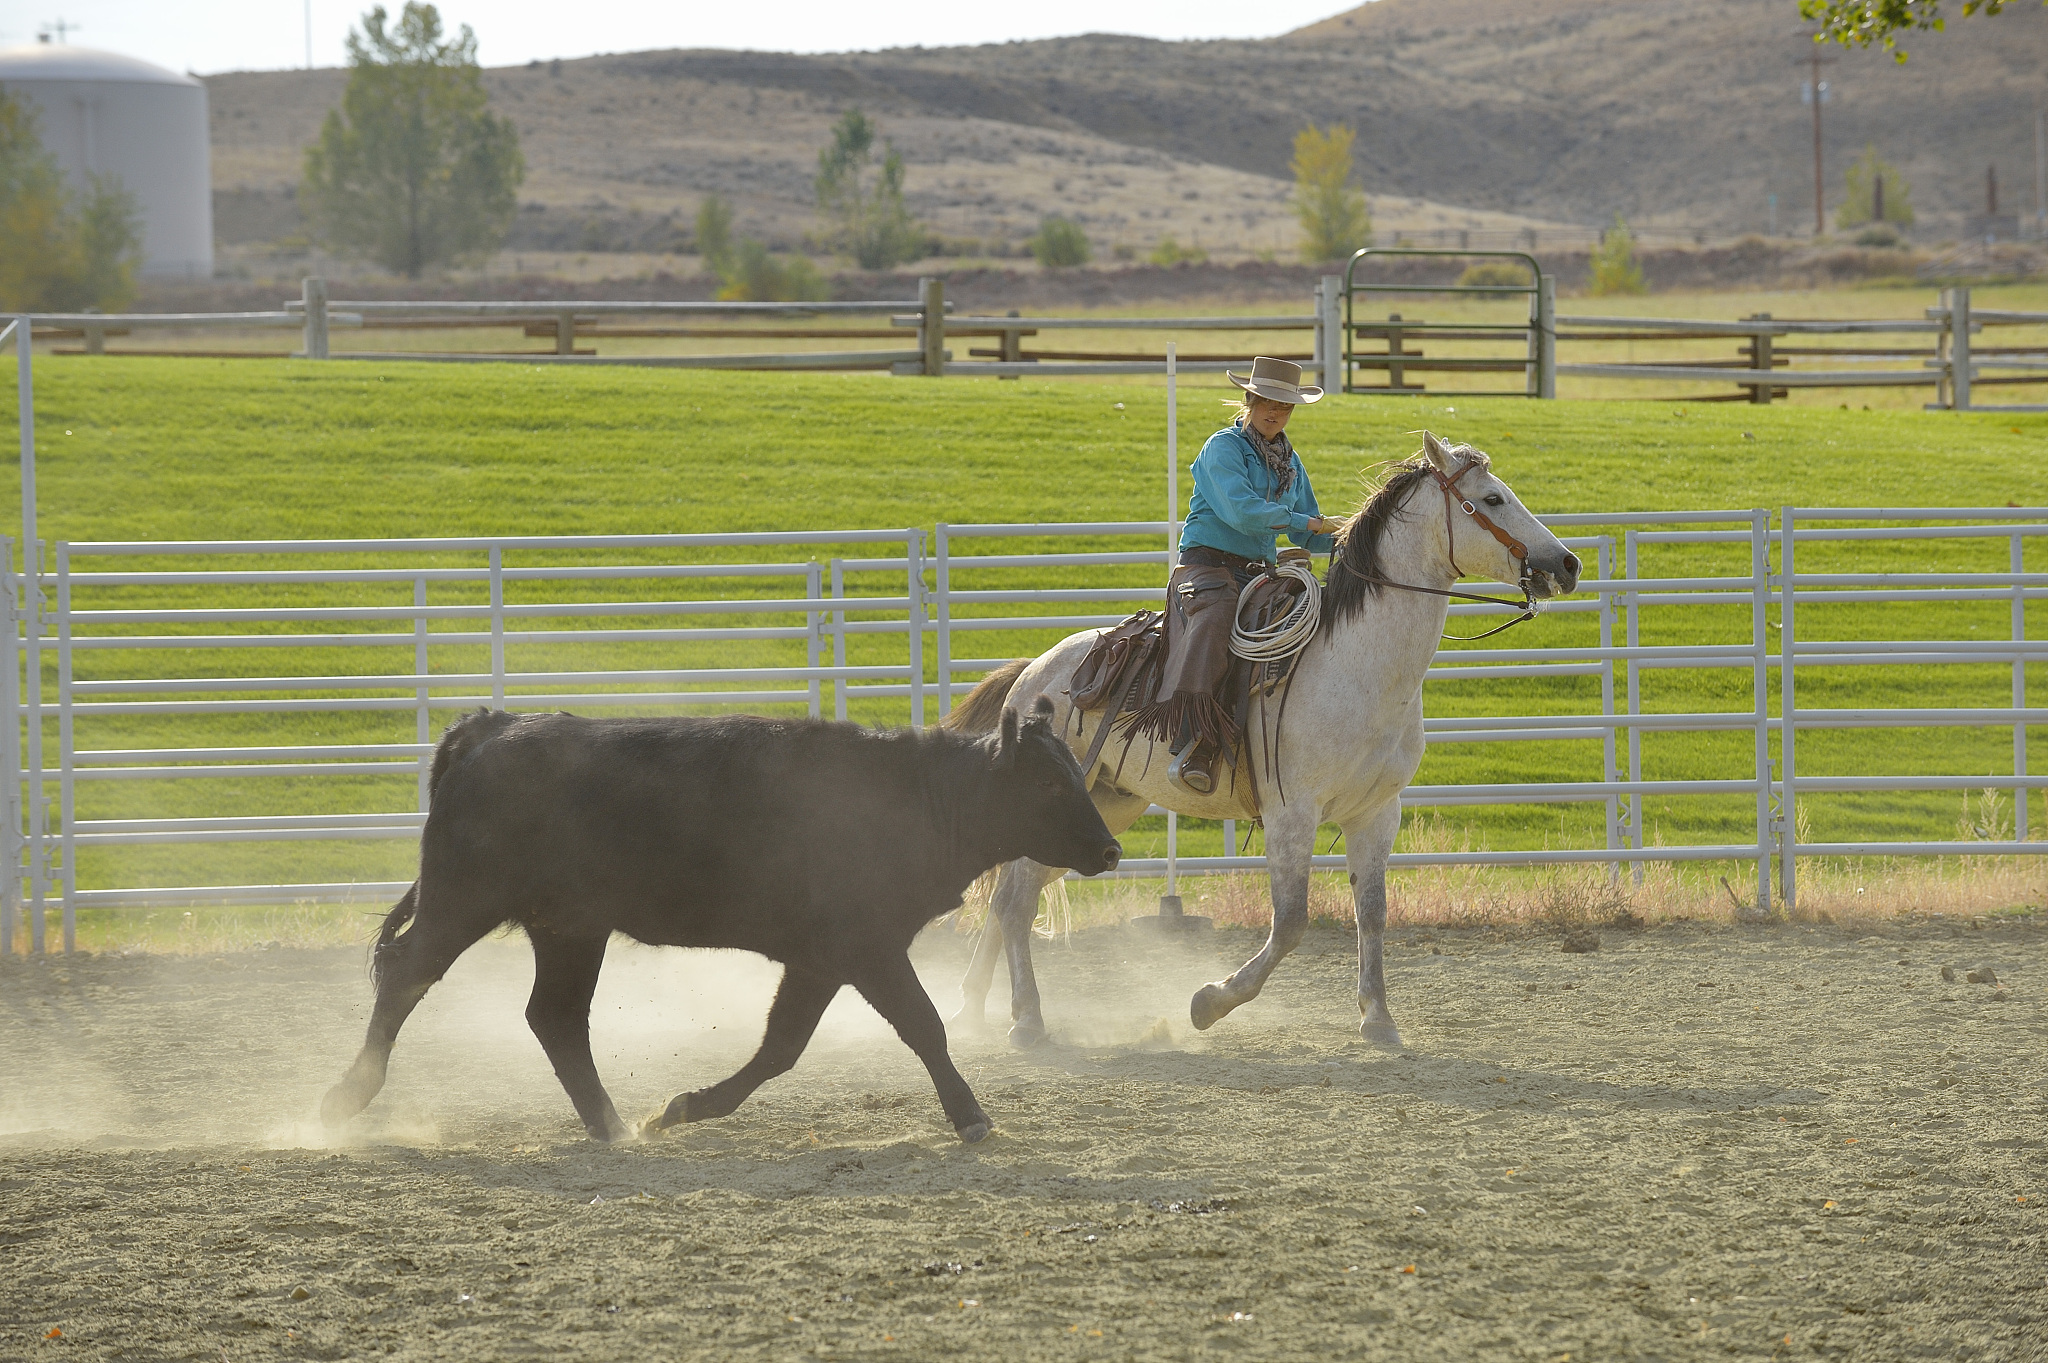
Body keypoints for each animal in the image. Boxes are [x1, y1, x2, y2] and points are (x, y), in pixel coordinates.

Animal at [319, 699, 1120, 1144]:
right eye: (1051, 784)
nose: (1110, 848)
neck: (918, 796)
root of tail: (491, 727)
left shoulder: (822, 958)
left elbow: (781, 1046)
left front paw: (681, 1109)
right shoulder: (865, 945)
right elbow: (923, 1026)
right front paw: (970, 1116)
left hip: (570, 927)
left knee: (554, 1017)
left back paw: (612, 1125)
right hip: (464, 897)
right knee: (407, 974)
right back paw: (343, 1098)